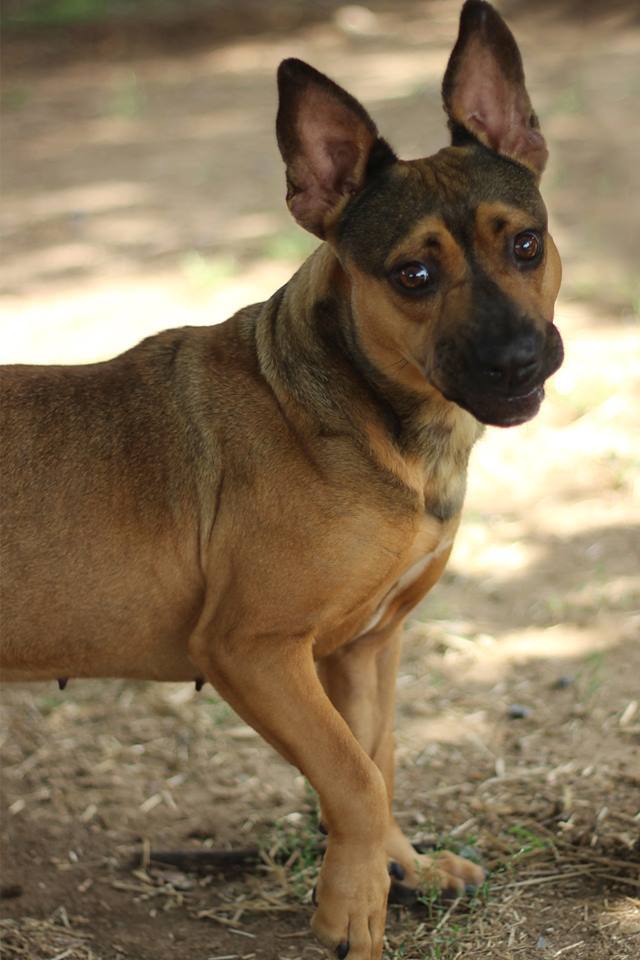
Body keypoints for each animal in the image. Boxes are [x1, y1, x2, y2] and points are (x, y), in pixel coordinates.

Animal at [0, 3, 564, 956]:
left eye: (525, 244)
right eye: (413, 275)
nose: (519, 359)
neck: (368, 417)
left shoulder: (364, 648)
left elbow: (376, 761)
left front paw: (399, 871)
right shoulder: (253, 650)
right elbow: (352, 776)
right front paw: (351, 910)